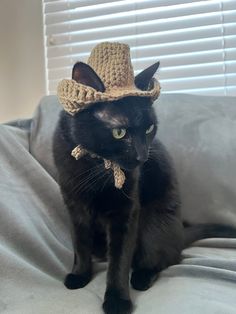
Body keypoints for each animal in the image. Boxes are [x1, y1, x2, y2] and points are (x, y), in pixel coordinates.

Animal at [53, 62, 236, 314]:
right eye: (119, 132)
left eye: (149, 129)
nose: (142, 157)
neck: (96, 167)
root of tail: (180, 233)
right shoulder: (74, 206)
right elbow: (80, 244)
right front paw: (79, 274)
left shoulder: (126, 212)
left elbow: (119, 260)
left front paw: (117, 300)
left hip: (154, 224)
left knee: (162, 259)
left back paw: (141, 278)